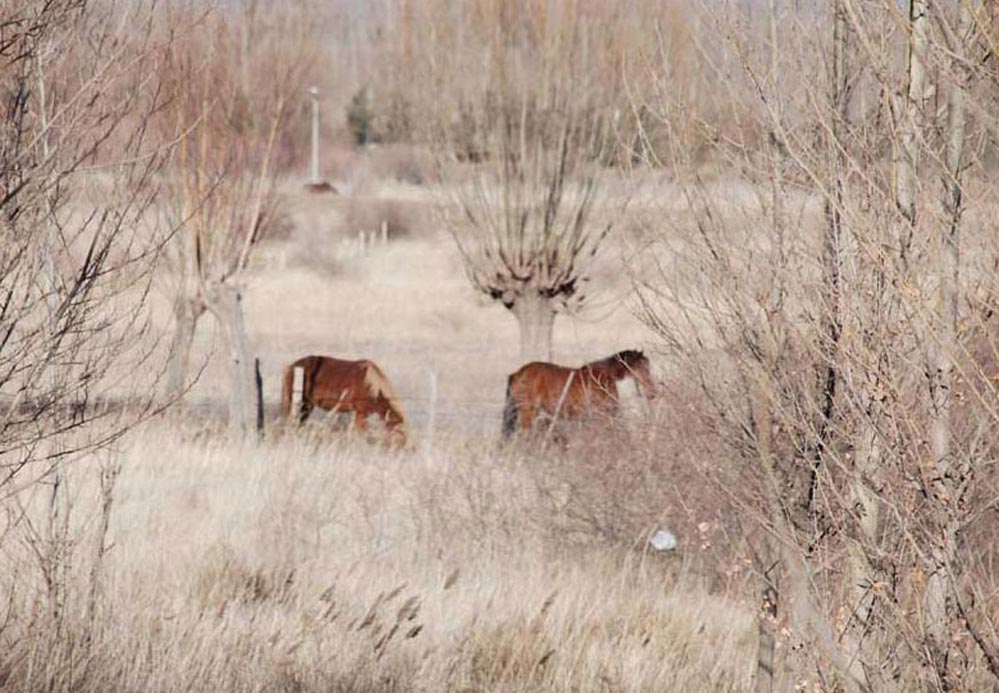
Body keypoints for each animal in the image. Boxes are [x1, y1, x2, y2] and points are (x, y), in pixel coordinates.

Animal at [500, 346, 656, 438]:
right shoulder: (601, 416)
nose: (652, 393)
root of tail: (519, 373)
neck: (606, 377)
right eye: (641, 368)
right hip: (527, 412)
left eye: (648, 367)